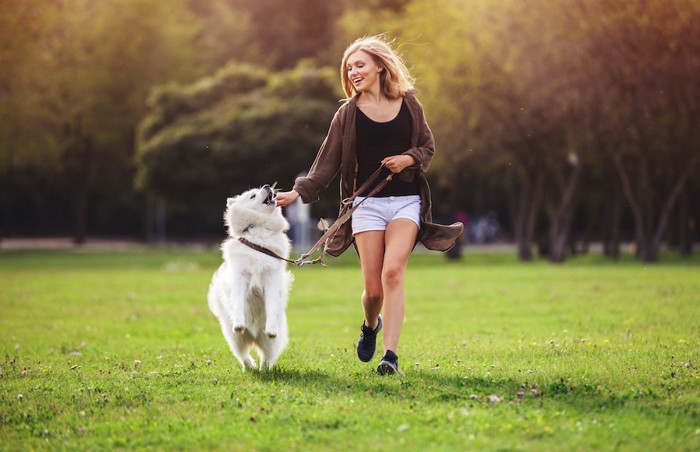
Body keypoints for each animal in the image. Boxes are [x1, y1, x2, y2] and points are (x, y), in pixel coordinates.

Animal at [209, 185, 294, 370]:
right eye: (252, 195)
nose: (267, 186)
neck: (258, 237)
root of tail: (254, 337)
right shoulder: (239, 278)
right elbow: (238, 303)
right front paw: (239, 322)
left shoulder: (270, 280)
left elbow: (271, 306)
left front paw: (271, 328)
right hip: (235, 339)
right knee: (243, 356)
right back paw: (250, 367)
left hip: (269, 343)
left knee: (267, 358)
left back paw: (264, 369)